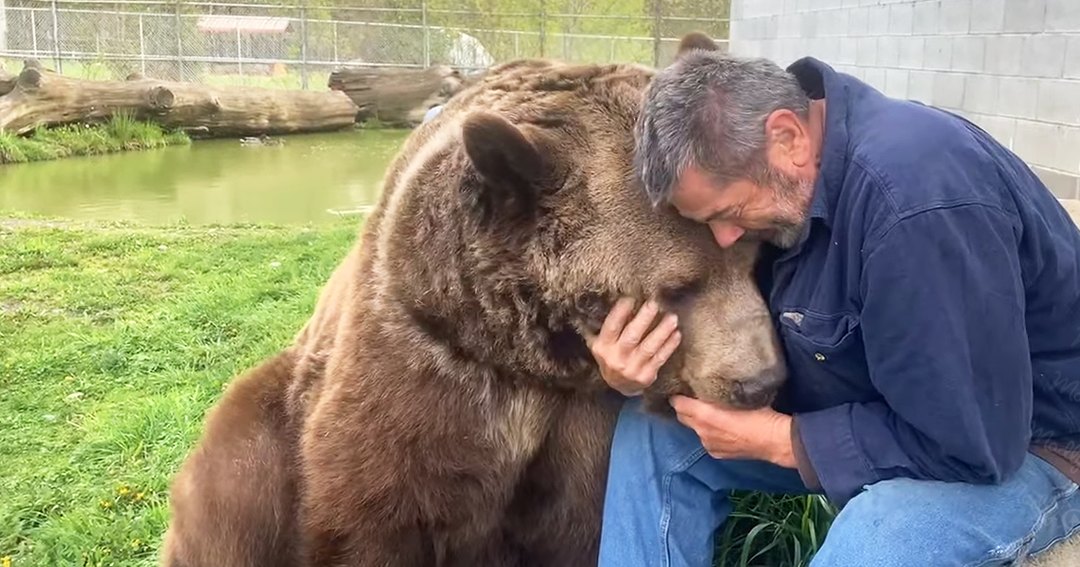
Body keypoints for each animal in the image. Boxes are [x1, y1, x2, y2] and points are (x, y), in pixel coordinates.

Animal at [160, 38, 786, 567]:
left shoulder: (581, 423)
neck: (526, 353)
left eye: (754, 256)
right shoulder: (423, 363)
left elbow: (578, 523)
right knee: (233, 487)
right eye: (678, 286)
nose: (760, 381)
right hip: (269, 422)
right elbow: (373, 515)